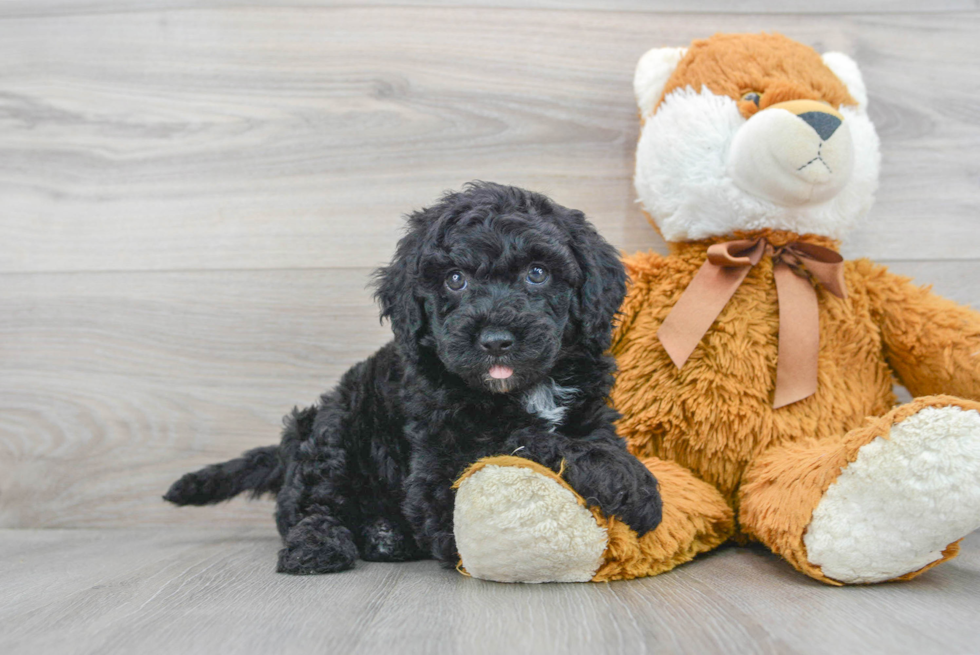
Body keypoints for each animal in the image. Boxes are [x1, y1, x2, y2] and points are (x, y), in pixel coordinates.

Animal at [165, 181, 664, 576]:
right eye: (455, 280)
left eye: (537, 274)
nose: (496, 340)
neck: (526, 388)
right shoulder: (440, 469)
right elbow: (520, 438)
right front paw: (633, 486)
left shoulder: (591, 411)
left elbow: (586, 438)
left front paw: (624, 471)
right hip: (333, 429)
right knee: (309, 505)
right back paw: (319, 547)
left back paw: (385, 536)